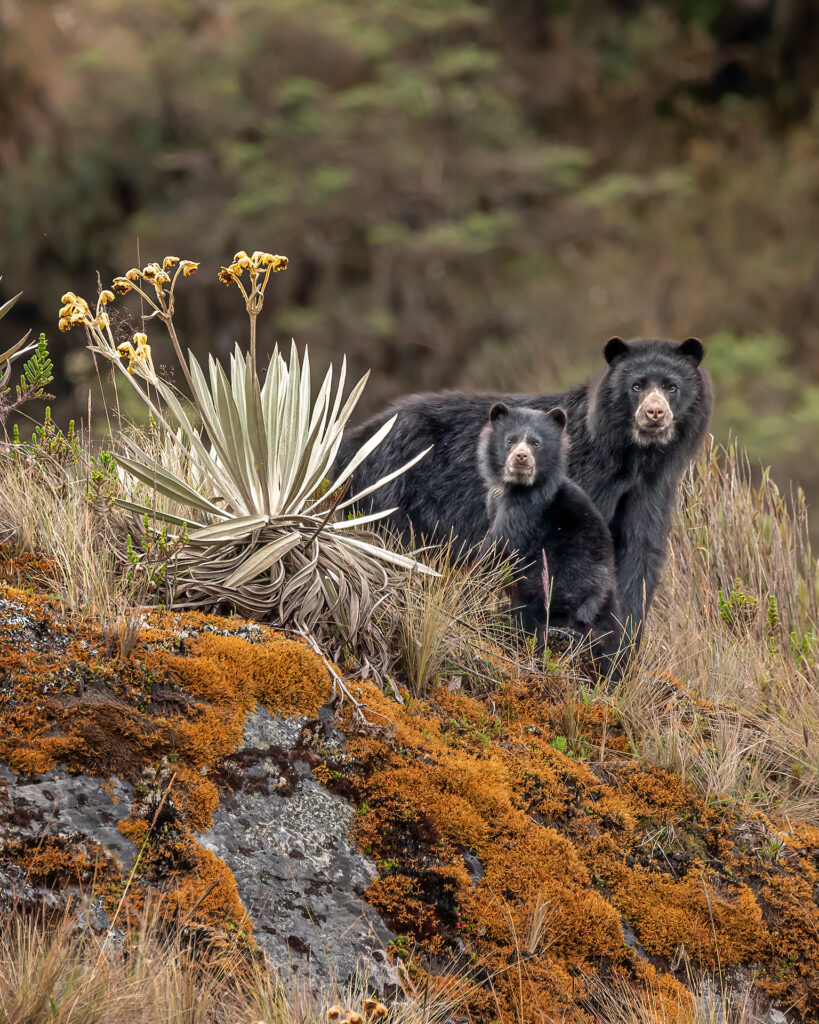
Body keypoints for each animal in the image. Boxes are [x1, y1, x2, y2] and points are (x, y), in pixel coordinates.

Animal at [478, 402, 621, 663]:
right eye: (510, 440)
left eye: (536, 443)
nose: (521, 457)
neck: (516, 486)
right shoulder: (495, 502)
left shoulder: (528, 508)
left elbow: (502, 546)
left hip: (560, 577)